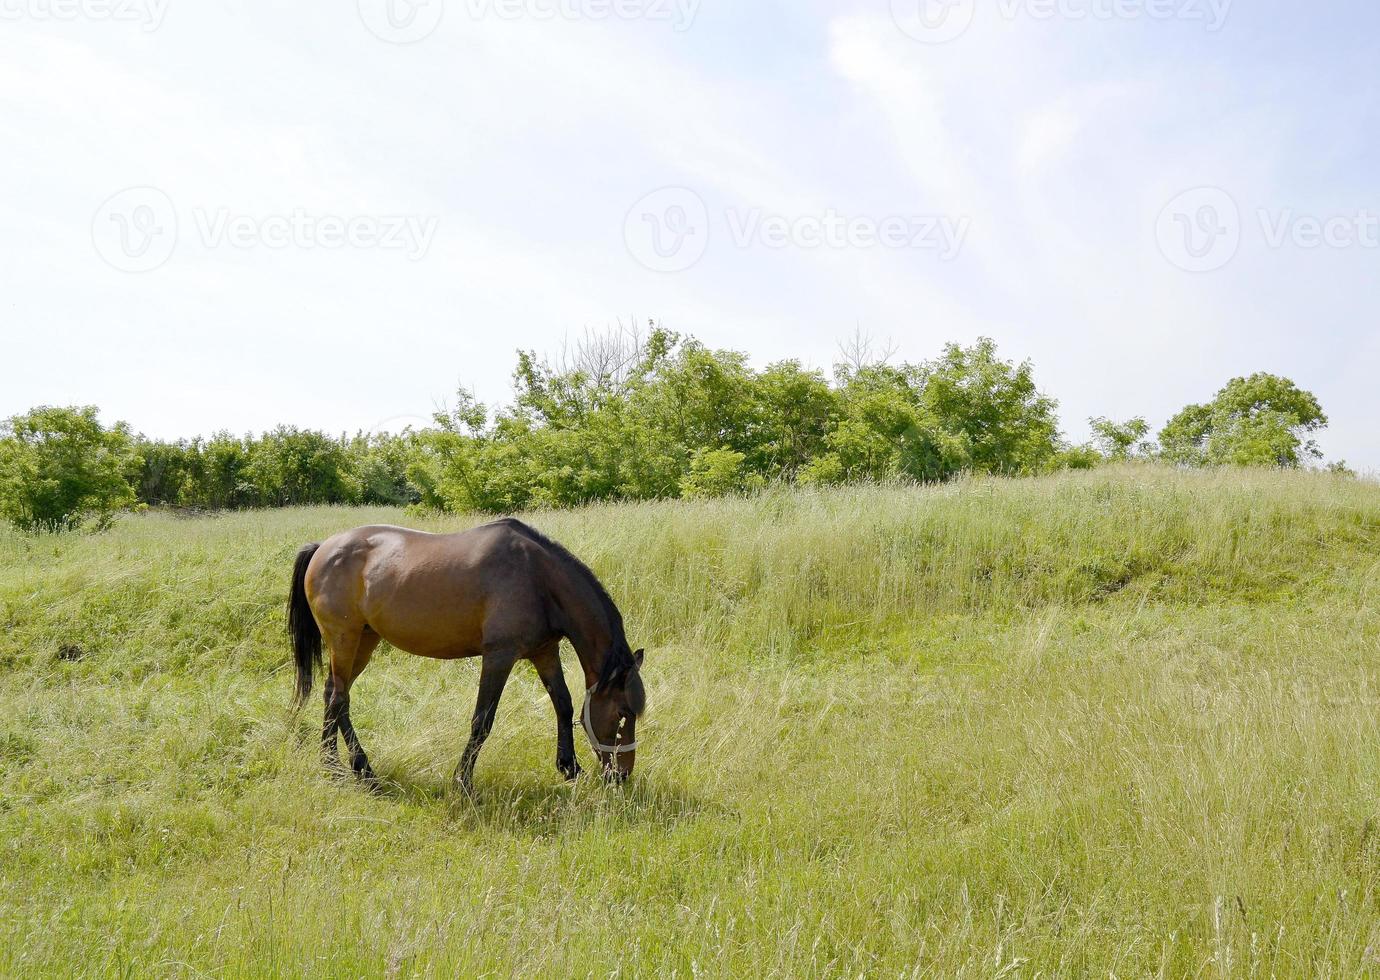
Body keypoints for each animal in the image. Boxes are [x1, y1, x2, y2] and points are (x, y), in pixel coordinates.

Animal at [284, 521, 645, 789]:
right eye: (623, 713)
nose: (622, 775)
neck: (538, 578)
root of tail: (323, 547)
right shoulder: (499, 656)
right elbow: (482, 720)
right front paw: (463, 780)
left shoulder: (544, 652)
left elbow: (564, 704)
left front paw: (569, 767)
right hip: (344, 639)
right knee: (338, 697)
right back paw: (347, 768)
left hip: (364, 641)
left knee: (334, 692)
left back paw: (348, 766)